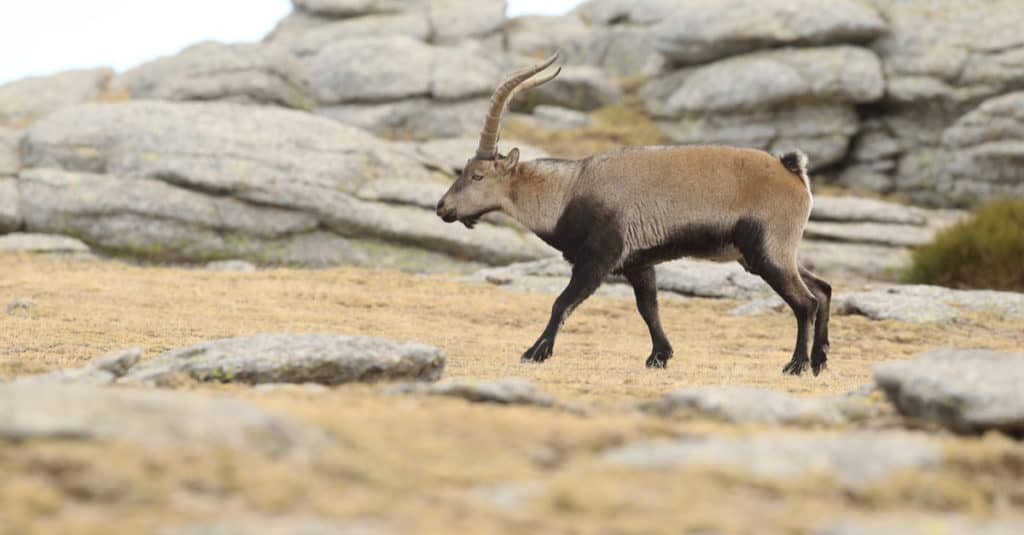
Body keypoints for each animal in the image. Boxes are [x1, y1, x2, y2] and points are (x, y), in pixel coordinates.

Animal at [435, 53, 832, 376]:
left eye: (477, 175)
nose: (442, 207)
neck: (568, 191)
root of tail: (792, 172)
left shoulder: (598, 259)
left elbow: (562, 302)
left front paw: (535, 352)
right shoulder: (638, 263)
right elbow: (648, 309)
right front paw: (660, 356)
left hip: (767, 252)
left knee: (806, 302)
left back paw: (796, 365)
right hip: (765, 255)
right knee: (823, 289)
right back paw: (820, 361)